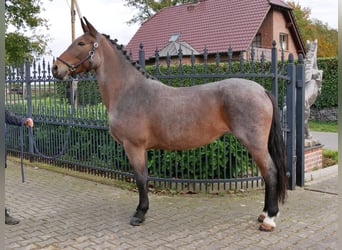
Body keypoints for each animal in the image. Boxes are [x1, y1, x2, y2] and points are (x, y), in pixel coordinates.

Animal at [52, 18, 288, 232]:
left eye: (81, 43)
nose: (56, 68)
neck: (129, 91)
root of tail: (261, 90)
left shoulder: (134, 147)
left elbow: (140, 178)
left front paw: (139, 214)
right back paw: (264, 214)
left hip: (255, 144)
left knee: (270, 173)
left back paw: (269, 219)